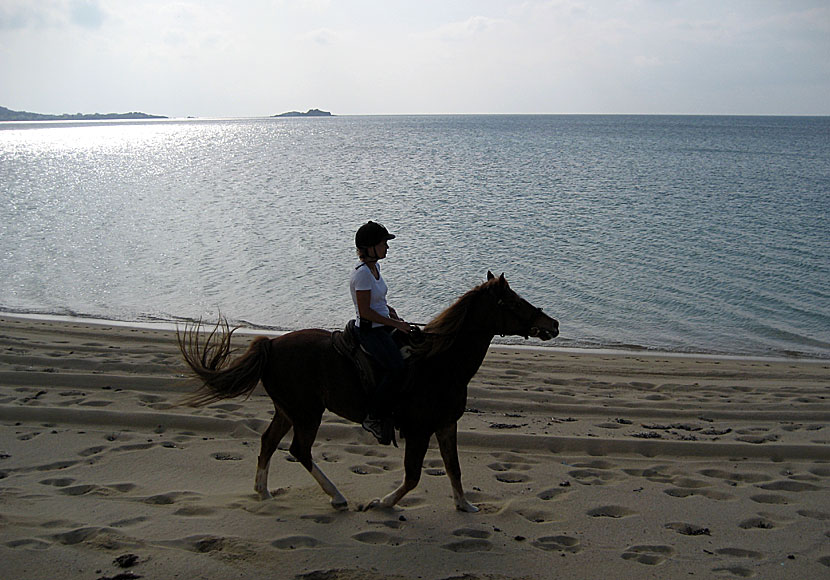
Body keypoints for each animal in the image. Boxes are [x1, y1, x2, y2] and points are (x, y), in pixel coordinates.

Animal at [180, 272, 564, 512]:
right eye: (515, 302)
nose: (554, 324)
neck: (441, 364)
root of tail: (271, 345)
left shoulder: (446, 425)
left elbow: (454, 469)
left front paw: (464, 504)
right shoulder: (419, 430)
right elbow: (413, 477)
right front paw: (382, 503)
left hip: (289, 410)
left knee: (268, 442)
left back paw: (263, 491)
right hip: (307, 413)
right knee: (299, 451)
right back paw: (336, 497)